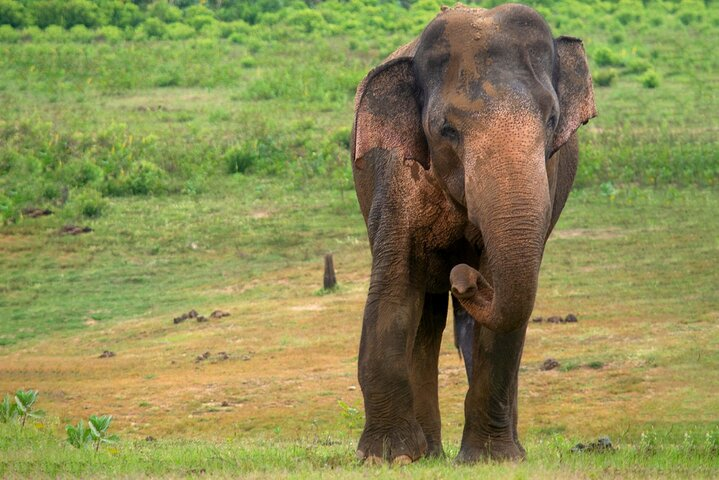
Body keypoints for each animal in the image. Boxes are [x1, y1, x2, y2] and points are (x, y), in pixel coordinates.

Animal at [348, 1, 596, 464]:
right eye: (447, 129)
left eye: (552, 119)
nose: (463, 276)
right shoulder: (395, 181)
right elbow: (393, 290)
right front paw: (388, 456)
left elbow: (502, 319)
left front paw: (491, 458)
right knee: (426, 319)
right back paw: (428, 453)